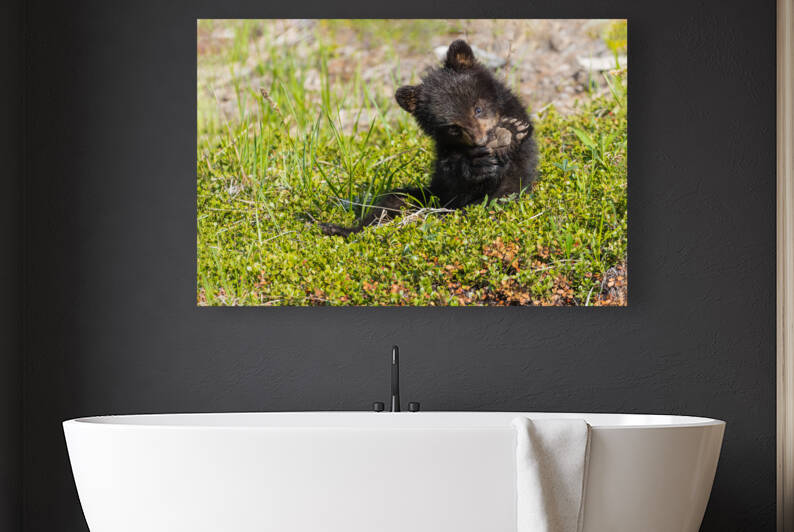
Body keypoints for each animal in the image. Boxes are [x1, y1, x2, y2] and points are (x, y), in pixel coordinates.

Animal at [320, 39, 538, 237]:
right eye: (453, 128)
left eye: (478, 109)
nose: (481, 142)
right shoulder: (445, 154)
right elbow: (452, 178)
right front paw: (478, 162)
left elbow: (509, 179)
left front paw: (508, 133)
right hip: (428, 197)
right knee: (393, 201)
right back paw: (340, 229)